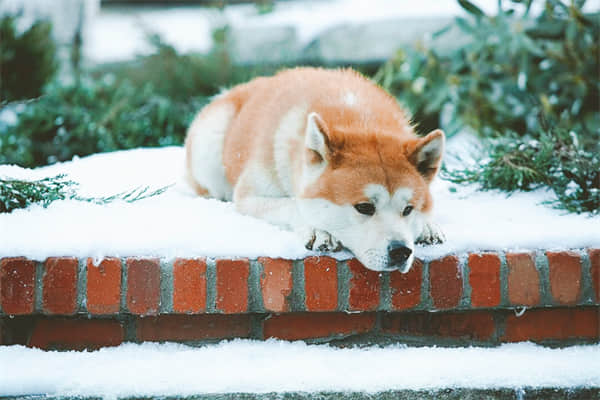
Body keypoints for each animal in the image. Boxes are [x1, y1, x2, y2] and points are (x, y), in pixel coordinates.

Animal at [185, 68, 442, 272]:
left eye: (408, 209)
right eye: (364, 207)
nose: (401, 251)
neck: (360, 120)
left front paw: (428, 225)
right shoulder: (249, 197)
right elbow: (292, 204)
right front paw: (319, 230)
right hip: (210, 146)